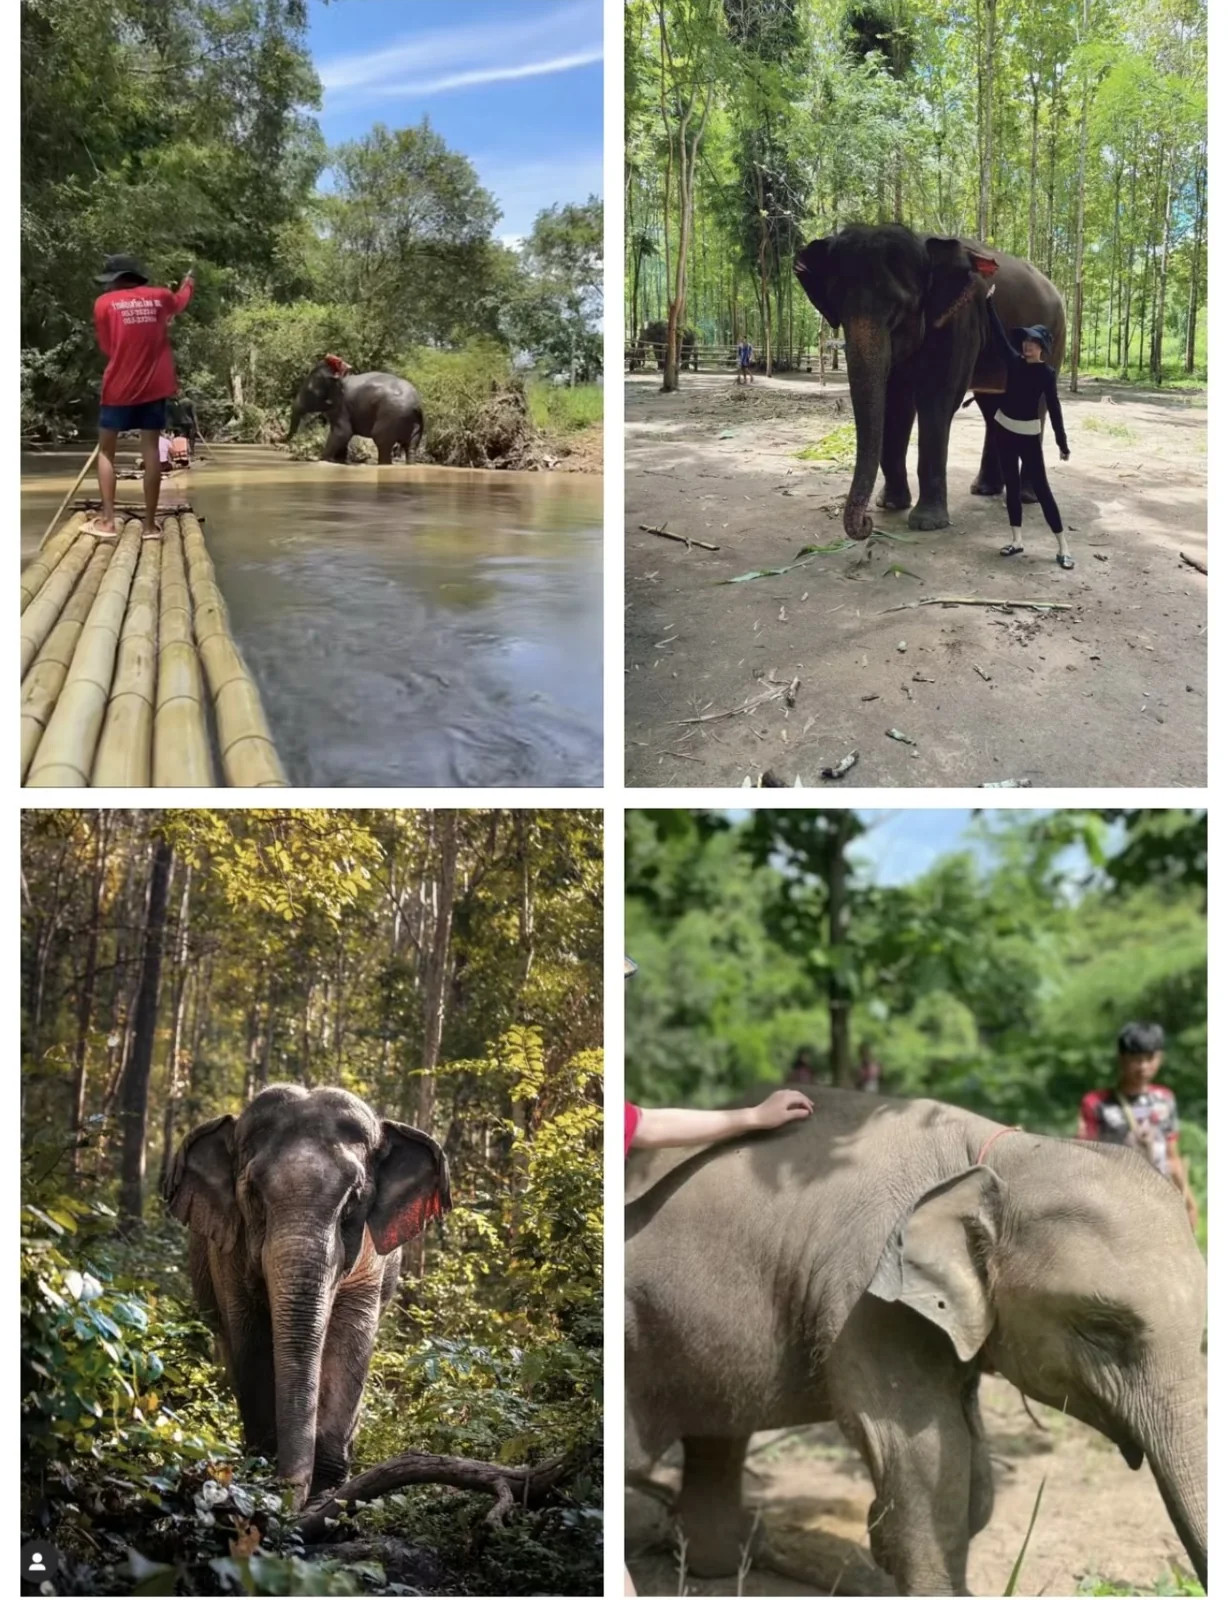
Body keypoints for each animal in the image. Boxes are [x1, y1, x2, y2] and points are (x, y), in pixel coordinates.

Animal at [165, 1084, 451, 1509]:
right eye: (252, 1194)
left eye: (353, 1200)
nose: (286, 1492)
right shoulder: (227, 1255)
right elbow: (249, 1341)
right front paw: (264, 1477)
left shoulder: (370, 1260)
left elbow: (349, 1342)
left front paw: (326, 1500)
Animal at [287, 357, 425, 465]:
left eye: (309, 392)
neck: (341, 376)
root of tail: (417, 405)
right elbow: (344, 436)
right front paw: (339, 461)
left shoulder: (341, 405)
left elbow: (343, 433)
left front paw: (324, 459)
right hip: (415, 424)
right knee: (411, 447)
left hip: (391, 416)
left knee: (382, 442)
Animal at [794, 224, 1066, 539]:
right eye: (837, 304)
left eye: (898, 306)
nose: (866, 524)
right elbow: (895, 403)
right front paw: (890, 505)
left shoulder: (960, 319)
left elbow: (937, 400)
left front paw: (927, 523)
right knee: (992, 407)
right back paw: (985, 490)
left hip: (1055, 337)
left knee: (1036, 405)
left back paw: (1026, 497)